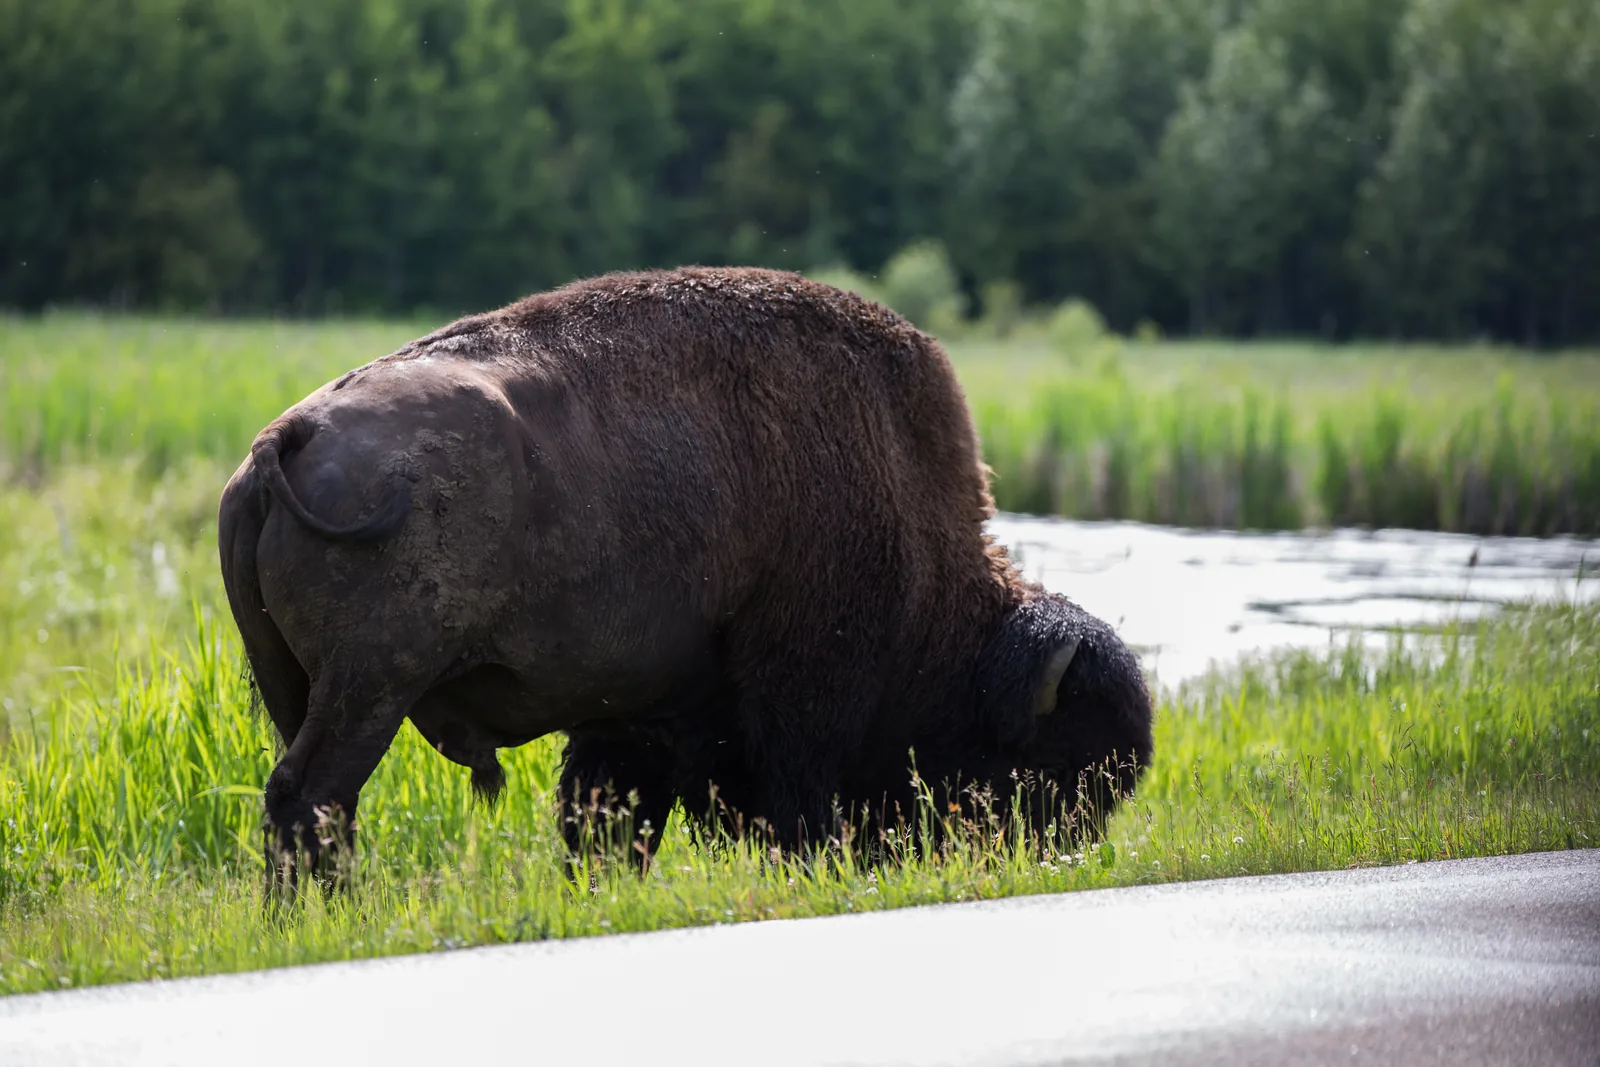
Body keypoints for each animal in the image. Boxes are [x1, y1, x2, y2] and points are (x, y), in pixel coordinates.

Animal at [217, 267, 1152, 889]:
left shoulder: (634, 717)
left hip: (302, 688)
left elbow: (605, 816)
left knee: (309, 802)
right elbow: (796, 802)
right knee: (313, 796)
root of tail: (284, 440)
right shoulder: (799, 702)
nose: (1058, 855)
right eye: (1053, 762)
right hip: (371, 688)